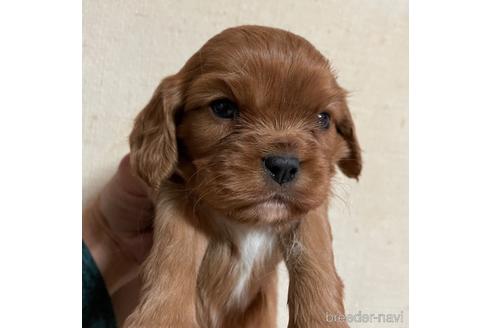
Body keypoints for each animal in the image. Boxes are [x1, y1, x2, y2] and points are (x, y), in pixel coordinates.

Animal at [124, 24, 362, 326]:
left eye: (323, 119)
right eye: (223, 108)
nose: (283, 165)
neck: (248, 222)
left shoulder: (311, 208)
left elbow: (316, 255)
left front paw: (320, 318)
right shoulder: (174, 192)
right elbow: (174, 247)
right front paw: (163, 318)